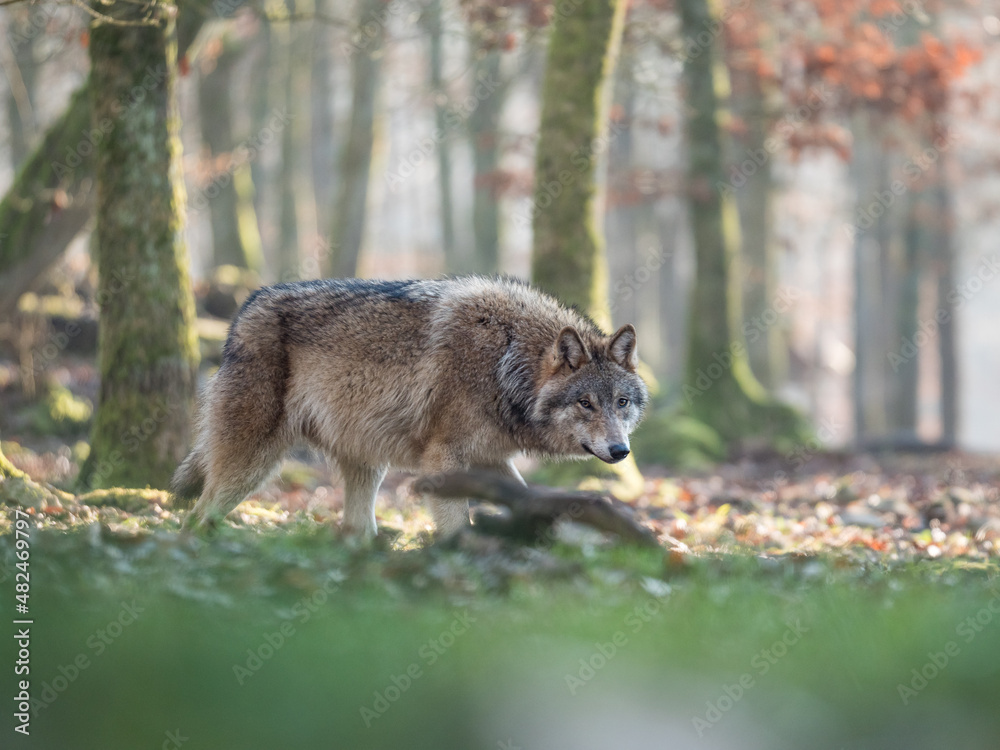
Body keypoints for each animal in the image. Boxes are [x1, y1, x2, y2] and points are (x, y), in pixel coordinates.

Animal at [171, 276, 648, 537]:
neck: (506, 360)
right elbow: (457, 525)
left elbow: (528, 500)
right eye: (586, 403)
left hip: (367, 464)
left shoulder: (489, 459)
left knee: (357, 529)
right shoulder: (443, 459)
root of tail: (245, 308)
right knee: (198, 513)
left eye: (621, 402)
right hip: (254, 463)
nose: (621, 451)